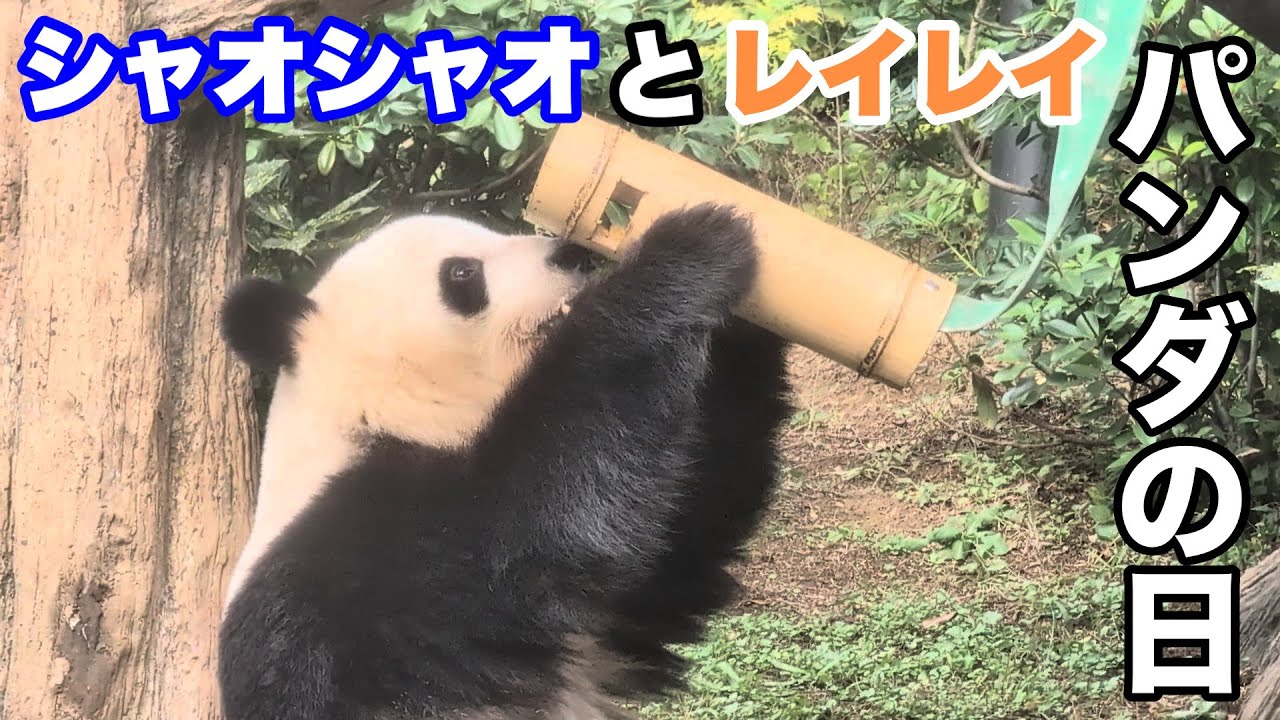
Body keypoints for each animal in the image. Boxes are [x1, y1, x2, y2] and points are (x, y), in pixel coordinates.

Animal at [217, 204, 793, 719]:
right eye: (462, 272)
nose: (571, 254)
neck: (382, 412)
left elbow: (681, 546)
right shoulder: (367, 553)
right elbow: (531, 529)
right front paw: (688, 248)